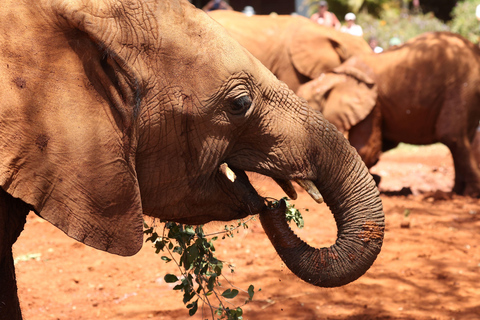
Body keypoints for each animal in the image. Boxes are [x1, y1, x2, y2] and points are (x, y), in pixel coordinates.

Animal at [296, 31, 480, 198]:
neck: (335, 75)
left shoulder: (373, 104)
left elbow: (365, 148)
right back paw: (456, 192)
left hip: (462, 87)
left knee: (451, 136)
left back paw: (469, 194)